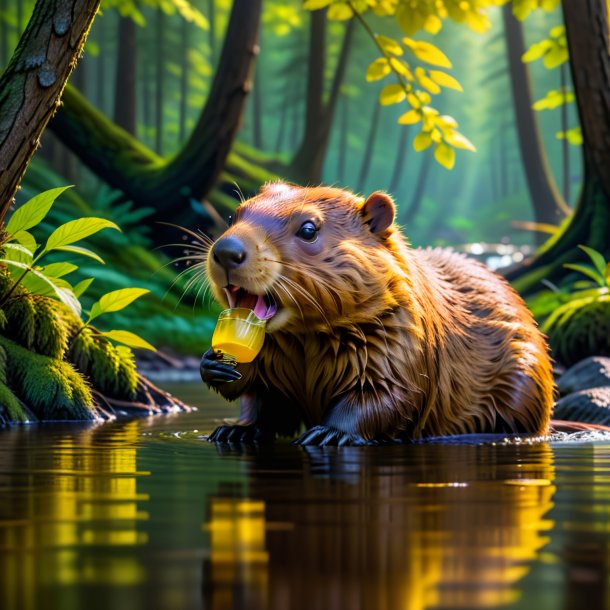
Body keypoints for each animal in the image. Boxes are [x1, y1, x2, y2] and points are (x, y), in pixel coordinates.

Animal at [202, 180, 552, 442]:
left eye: (308, 229)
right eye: (233, 216)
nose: (227, 251)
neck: (306, 340)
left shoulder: (399, 339)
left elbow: (385, 395)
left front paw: (328, 433)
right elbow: (260, 398)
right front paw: (229, 412)